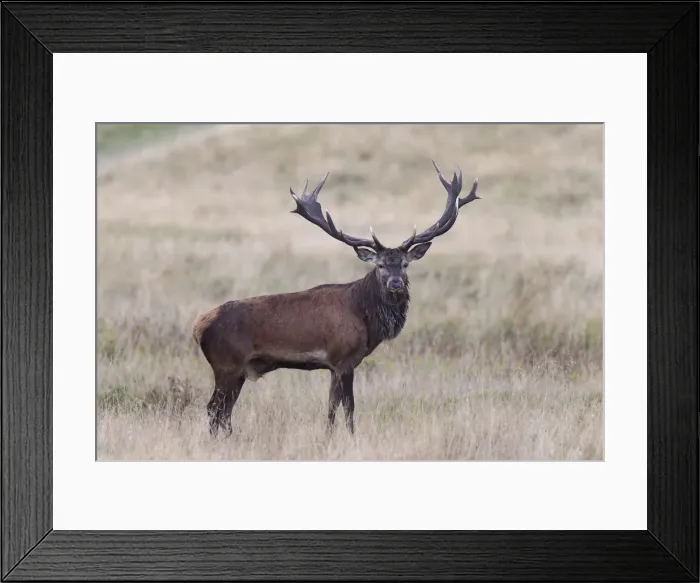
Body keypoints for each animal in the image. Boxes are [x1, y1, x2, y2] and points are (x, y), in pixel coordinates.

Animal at [192, 161, 480, 438]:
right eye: (380, 266)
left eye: (405, 264)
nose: (396, 283)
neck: (365, 318)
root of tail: (198, 326)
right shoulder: (344, 358)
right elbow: (349, 408)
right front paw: (351, 438)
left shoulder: (332, 366)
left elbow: (331, 408)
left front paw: (328, 438)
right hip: (227, 365)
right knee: (214, 409)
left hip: (236, 371)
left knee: (223, 412)